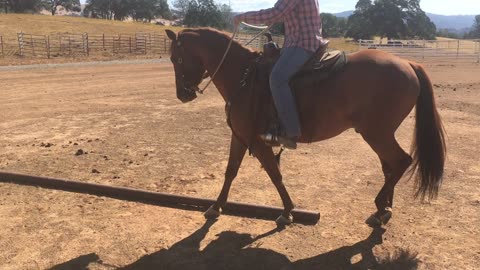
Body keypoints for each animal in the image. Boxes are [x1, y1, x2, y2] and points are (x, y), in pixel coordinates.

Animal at [165, 28, 446, 226]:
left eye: (176, 58)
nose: (182, 94)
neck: (243, 76)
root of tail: (409, 64)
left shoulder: (257, 141)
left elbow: (274, 174)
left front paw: (288, 212)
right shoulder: (240, 136)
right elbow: (230, 171)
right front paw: (216, 206)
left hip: (377, 134)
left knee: (401, 161)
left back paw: (379, 207)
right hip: (381, 134)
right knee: (390, 167)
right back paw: (384, 209)